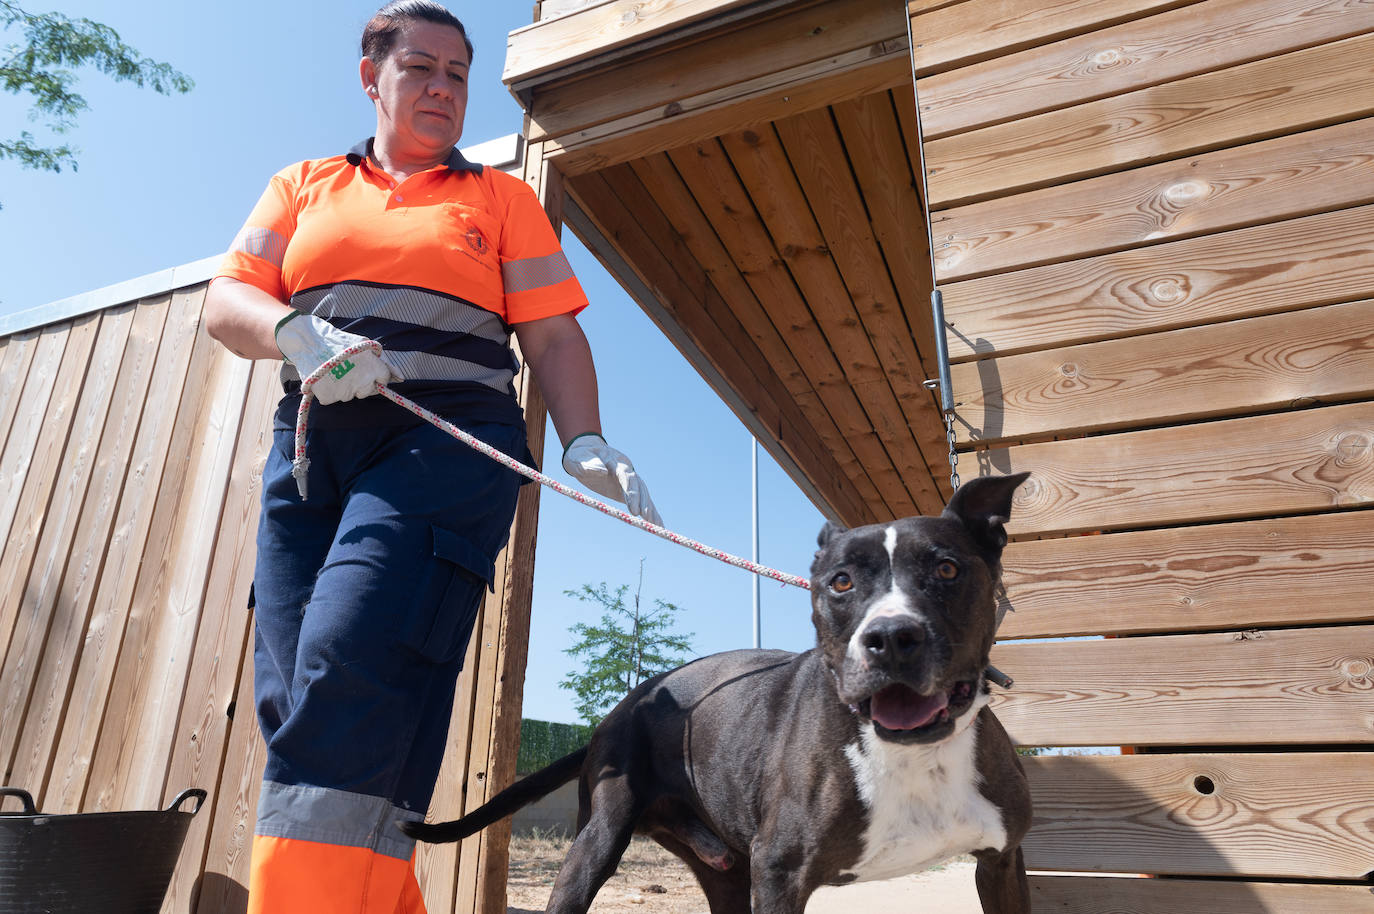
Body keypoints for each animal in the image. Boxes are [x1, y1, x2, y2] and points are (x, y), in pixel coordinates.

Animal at [401, 472, 1033, 907]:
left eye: (947, 569)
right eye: (841, 582)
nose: (891, 638)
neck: (917, 755)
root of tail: (619, 710)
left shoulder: (1002, 863)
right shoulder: (780, 875)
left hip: (726, 873)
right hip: (597, 842)